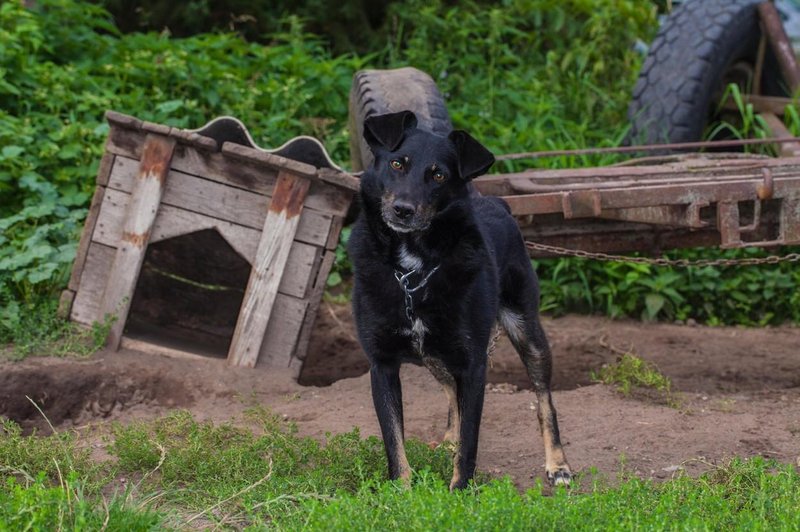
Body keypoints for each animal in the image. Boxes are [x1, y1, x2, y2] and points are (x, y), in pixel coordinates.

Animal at [348, 112, 568, 490]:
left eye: (439, 175)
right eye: (397, 163)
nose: (402, 210)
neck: (413, 270)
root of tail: (497, 202)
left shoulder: (474, 364)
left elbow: (471, 440)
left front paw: (459, 490)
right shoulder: (382, 364)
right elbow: (394, 438)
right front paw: (402, 490)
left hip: (527, 331)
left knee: (544, 400)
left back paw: (557, 463)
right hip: (435, 355)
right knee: (451, 393)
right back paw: (447, 440)